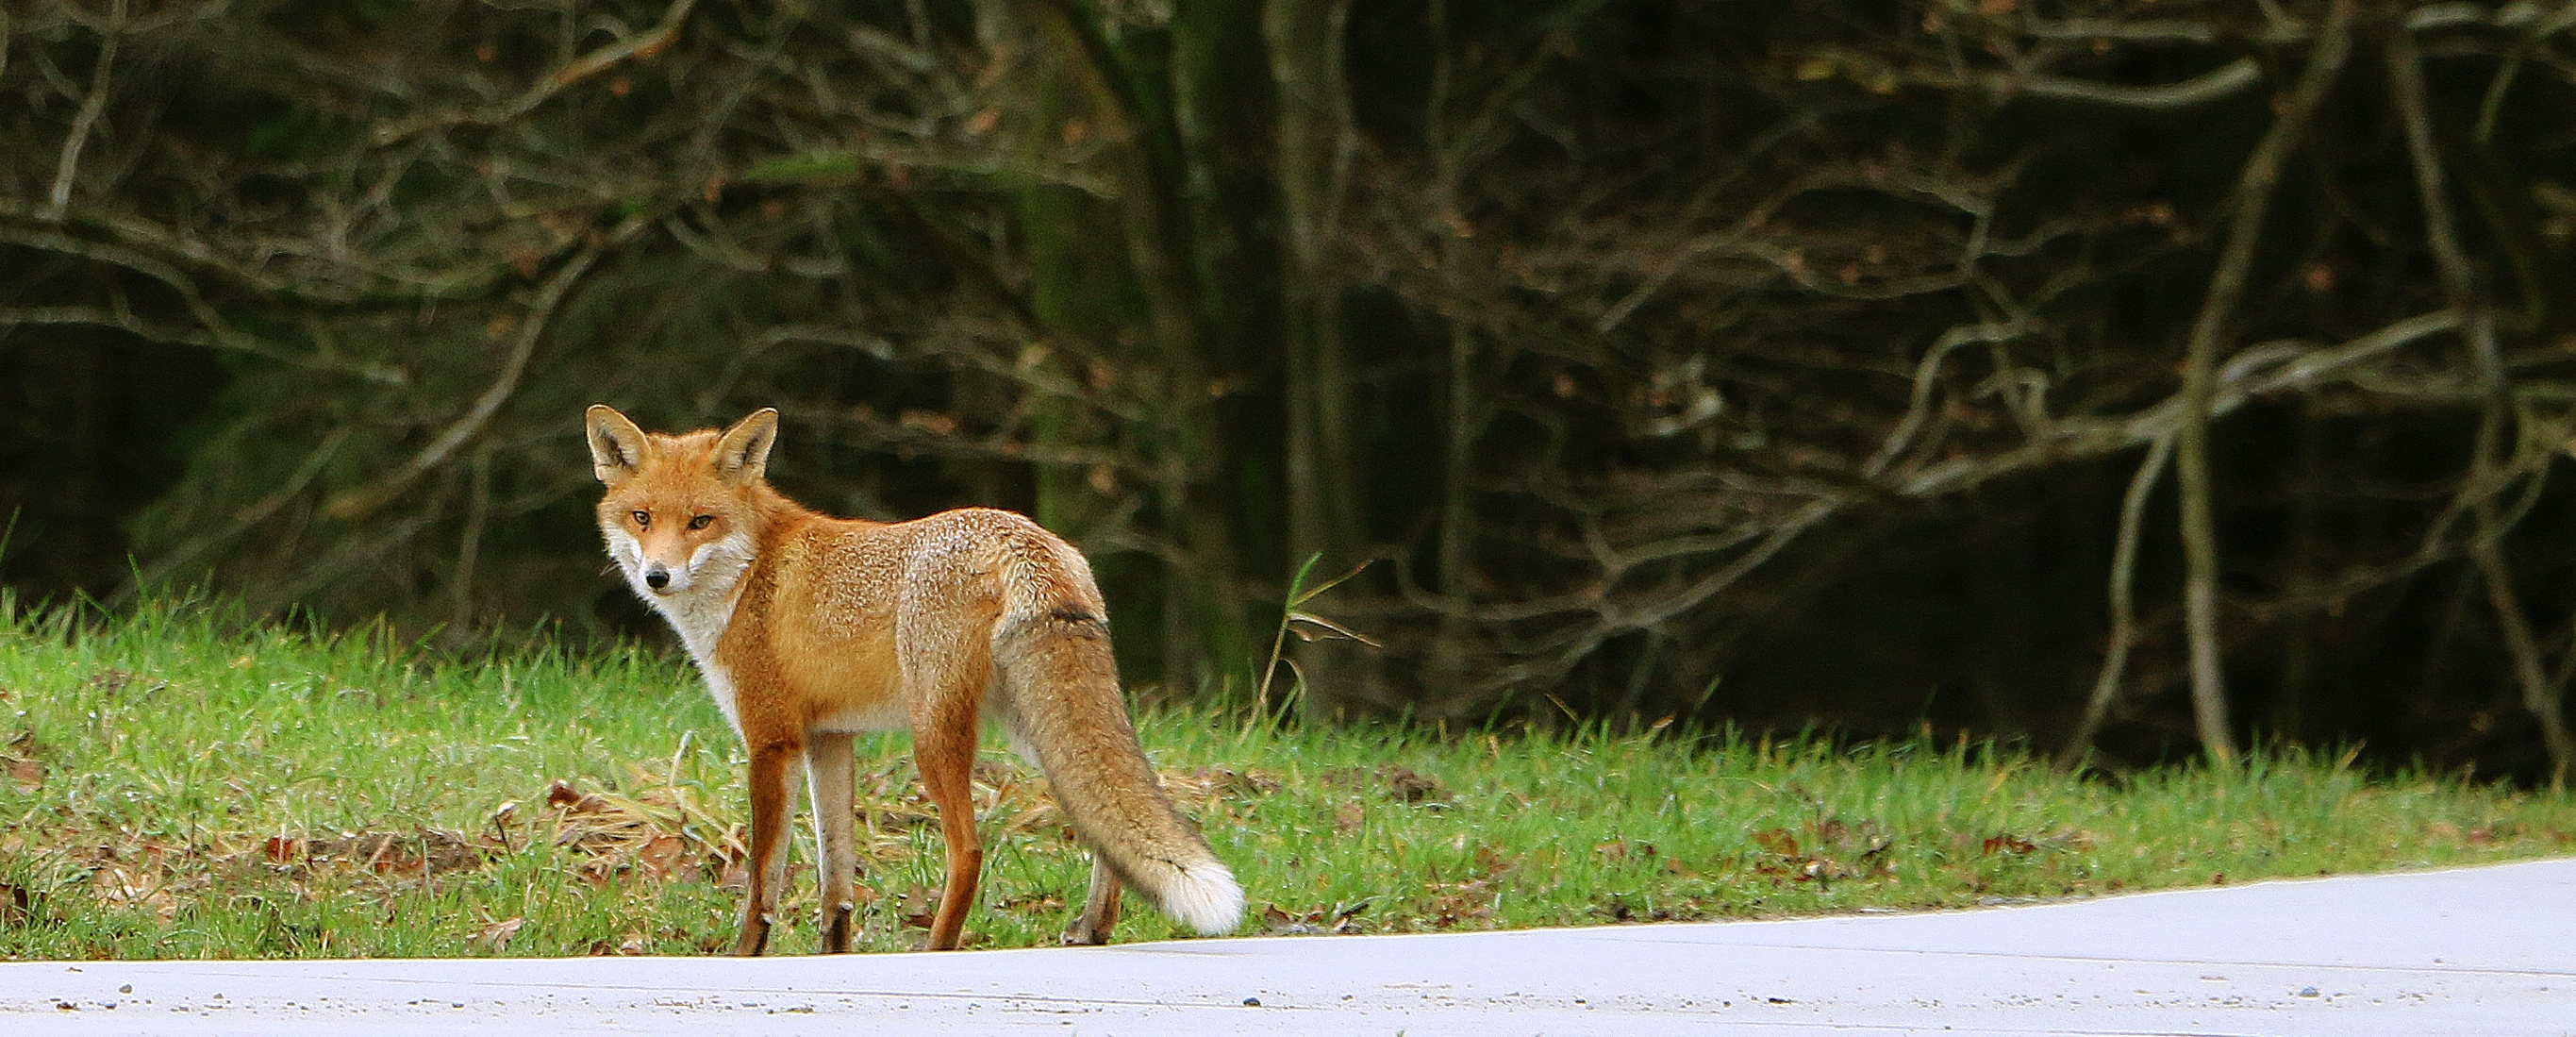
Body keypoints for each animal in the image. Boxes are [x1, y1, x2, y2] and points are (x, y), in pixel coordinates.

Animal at [584, 404, 1242, 955]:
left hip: (935, 733)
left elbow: (763, 884)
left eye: (701, 521)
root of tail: (1026, 537)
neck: (750, 574)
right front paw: (833, 956)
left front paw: (746, 955)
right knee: (1113, 813)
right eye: (642, 518)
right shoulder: (829, 740)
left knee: (969, 850)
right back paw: (1092, 929)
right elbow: (835, 881)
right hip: (1034, 729)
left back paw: (938, 948)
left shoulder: (772, 740)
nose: (658, 576)